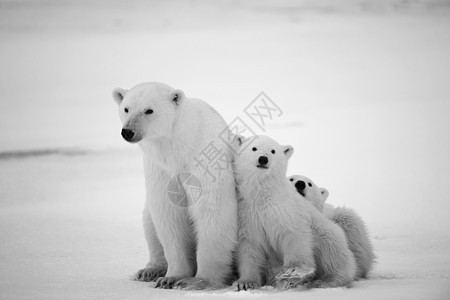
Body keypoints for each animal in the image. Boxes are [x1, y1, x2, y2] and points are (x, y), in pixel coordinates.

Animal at [112, 82, 237, 290]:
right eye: (126, 108)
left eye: (149, 110)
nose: (128, 131)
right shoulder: (160, 169)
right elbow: (169, 214)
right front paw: (171, 278)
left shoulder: (206, 161)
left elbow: (212, 210)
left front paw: (198, 280)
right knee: (149, 222)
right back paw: (149, 270)